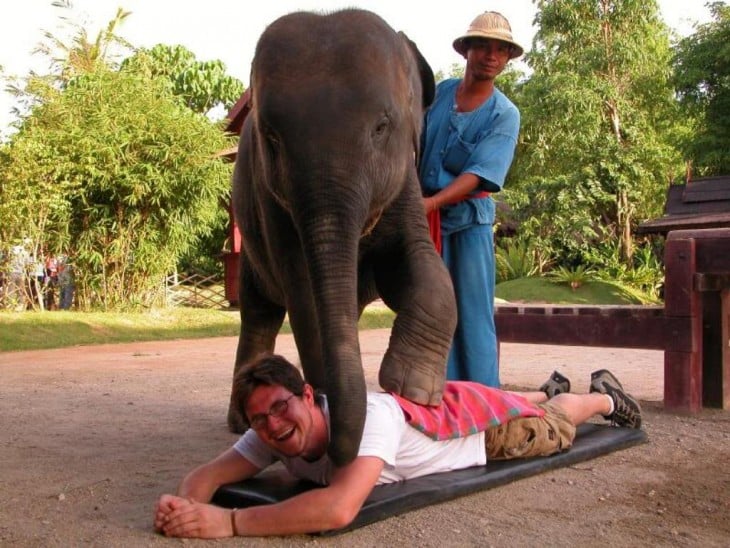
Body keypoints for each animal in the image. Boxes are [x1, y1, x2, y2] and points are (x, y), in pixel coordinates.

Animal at [228, 7, 456, 466]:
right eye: (272, 138)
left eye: (381, 127)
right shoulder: (271, 203)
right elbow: (303, 296)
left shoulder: (405, 183)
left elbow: (418, 264)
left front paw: (412, 389)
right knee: (259, 312)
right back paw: (238, 422)